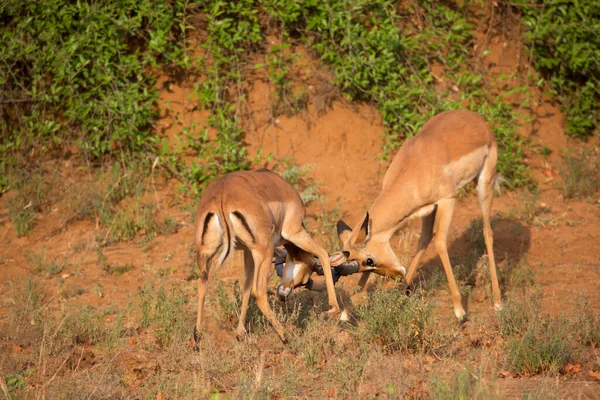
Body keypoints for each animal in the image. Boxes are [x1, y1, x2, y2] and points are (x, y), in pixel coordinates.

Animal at [193, 167, 342, 342]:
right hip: (266, 250)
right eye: (304, 281)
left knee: (202, 282)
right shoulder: (294, 232)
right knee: (258, 292)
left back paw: (197, 337)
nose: (284, 296)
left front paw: (239, 333)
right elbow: (323, 254)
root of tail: (222, 195)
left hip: (206, 252)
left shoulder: (248, 252)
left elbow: (246, 285)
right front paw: (330, 312)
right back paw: (284, 337)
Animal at [338, 110, 502, 322]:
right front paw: (344, 313)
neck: (414, 166)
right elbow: (425, 240)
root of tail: (478, 121)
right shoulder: (427, 208)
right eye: (360, 265)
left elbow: (440, 243)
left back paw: (498, 303)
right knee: (425, 239)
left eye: (369, 261)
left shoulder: (447, 200)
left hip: (484, 184)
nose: (397, 276)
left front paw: (459, 310)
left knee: (487, 233)